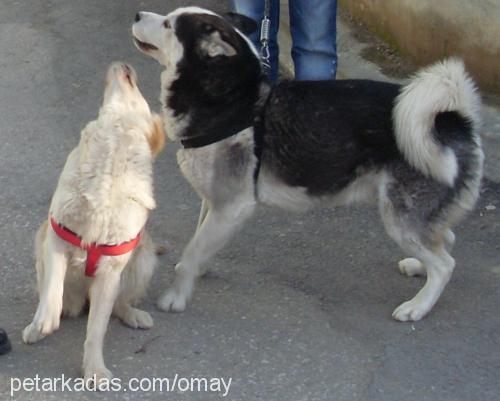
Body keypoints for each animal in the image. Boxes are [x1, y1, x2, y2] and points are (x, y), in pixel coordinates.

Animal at [23, 62, 164, 384]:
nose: (125, 63)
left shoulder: (111, 270)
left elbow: (96, 330)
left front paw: (94, 369)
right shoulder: (57, 239)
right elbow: (52, 290)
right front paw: (44, 320)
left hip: (144, 258)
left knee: (119, 303)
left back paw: (133, 314)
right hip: (39, 242)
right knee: (58, 296)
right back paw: (40, 325)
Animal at [131, 7, 482, 322]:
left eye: (168, 24)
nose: (136, 14)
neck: (232, 101)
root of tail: (452, 119)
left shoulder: (234, 206)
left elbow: (190, 253)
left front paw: (176, 297)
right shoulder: (215, 201)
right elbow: (200, 240)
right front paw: (199, 269)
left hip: (399, 216)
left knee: (445, 264)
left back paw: (418, 306)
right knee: (444, 240)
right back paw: (418, 266)